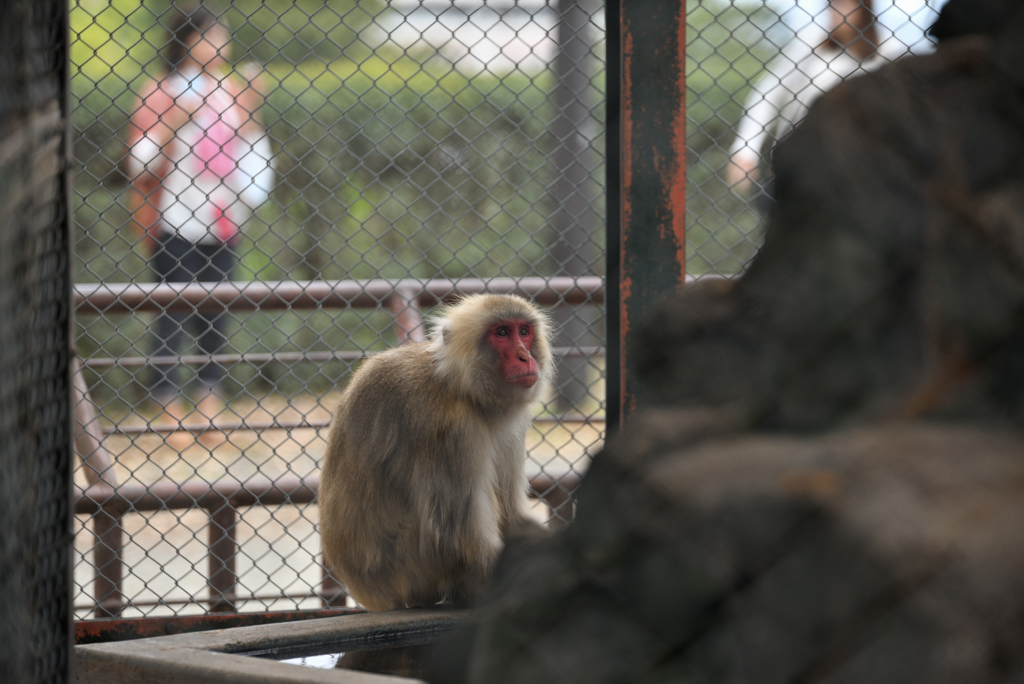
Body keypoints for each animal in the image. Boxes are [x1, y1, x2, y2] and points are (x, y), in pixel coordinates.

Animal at [317, 292, 552, 610]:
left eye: (524, 331)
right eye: (502, 333)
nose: (525, 357)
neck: (459, 385)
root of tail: (368, 595)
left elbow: (511, 513)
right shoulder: (450, 427)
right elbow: (453, 540)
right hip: (404, 573)